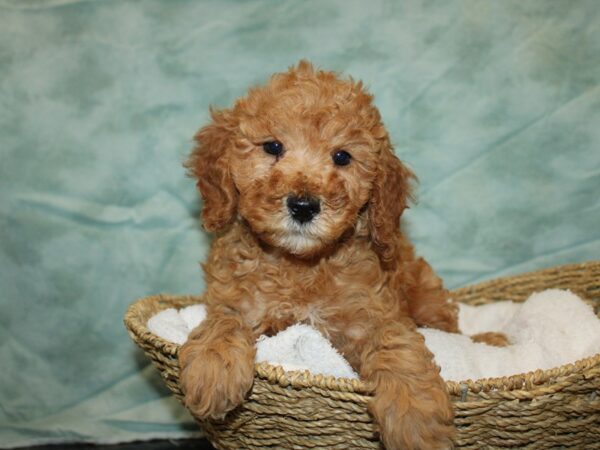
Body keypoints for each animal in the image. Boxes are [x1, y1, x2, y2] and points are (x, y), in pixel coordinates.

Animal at [179, 61, 460, 448]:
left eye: (342, 157)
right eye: (273, 146)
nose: (303, 205)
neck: (301, 265)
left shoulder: (374, 314)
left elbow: (396, 343)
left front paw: (415, 417)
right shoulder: (237, 300)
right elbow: (224, 319)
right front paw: (212, 367)